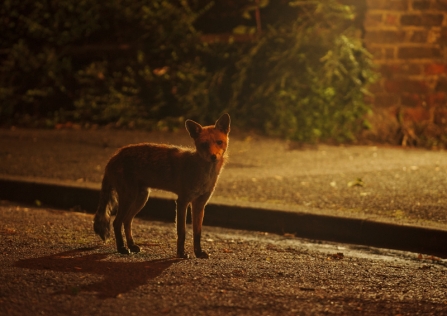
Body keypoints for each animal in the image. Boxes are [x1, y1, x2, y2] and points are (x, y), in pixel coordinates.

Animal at [94, 115, 231, 258]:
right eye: (204, 144)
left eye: (219, 142)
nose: (213, 157)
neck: (204, 173)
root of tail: (115, 155)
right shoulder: (182, 201)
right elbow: (181, 232)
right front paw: (181, 254)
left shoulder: (199, 204)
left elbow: (197, 233)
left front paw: (198, 253)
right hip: (129, 197)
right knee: (116, 222)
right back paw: (122, 248)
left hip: (141, 198)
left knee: (127, 221)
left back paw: (131, 245)